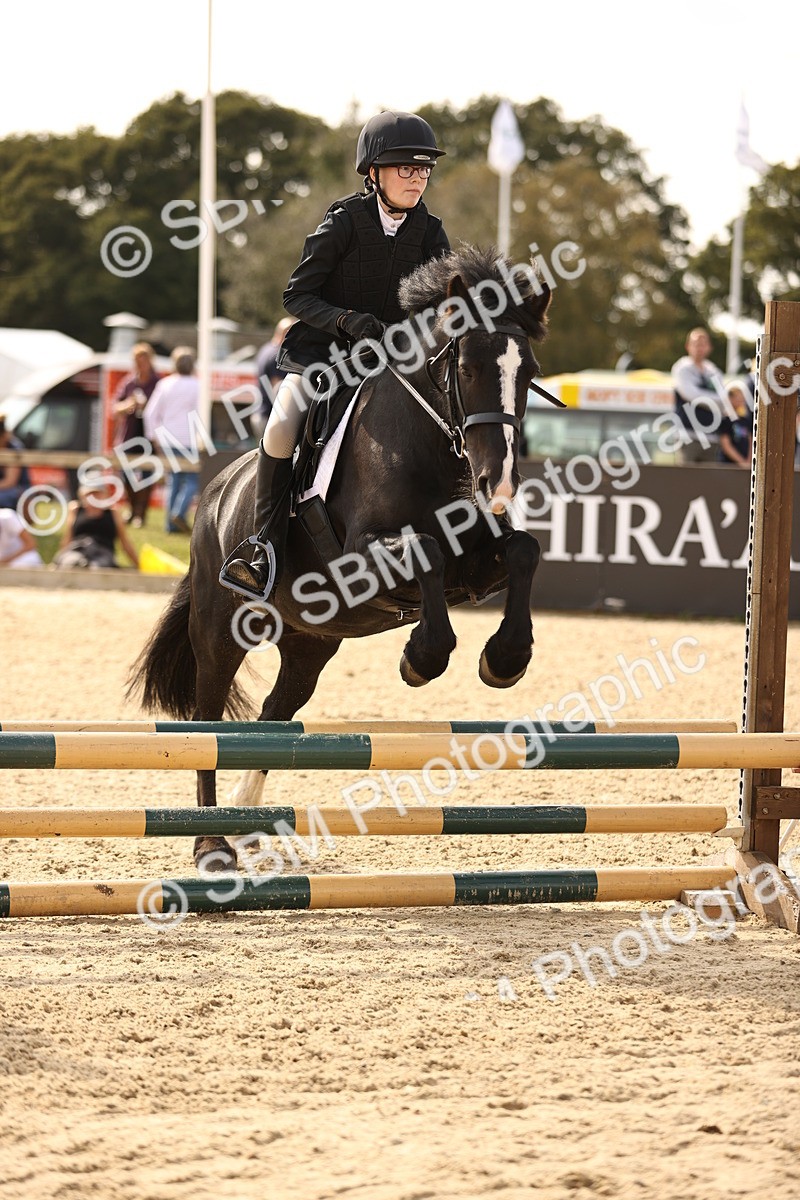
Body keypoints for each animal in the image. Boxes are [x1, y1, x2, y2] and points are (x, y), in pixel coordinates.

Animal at [128, 244, 552, 871]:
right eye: (468, 368)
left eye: (528, 374)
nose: (496, 484)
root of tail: (217, 491)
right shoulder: (366, 558)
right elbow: (425, 551)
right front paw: (422, 658)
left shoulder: (477, 563)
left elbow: (523, 549)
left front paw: (505, 659)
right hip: (220, 628)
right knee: (209, 724)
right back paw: (212, 844)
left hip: (312, 641)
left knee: (276, 712)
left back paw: (244, 819)